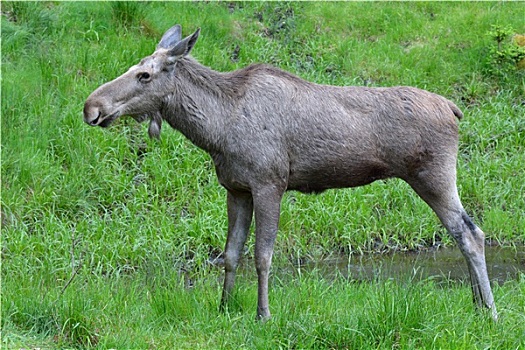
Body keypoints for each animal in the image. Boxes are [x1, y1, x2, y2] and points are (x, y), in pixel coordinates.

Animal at [85, 23, 496, 320]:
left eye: (144, 75)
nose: (91, 107)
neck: (216, 130)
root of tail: (455, 109)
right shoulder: (236, 189)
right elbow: (230, 254)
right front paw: (223, 307)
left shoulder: (270, 183)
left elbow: (262, 256)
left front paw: (263, 314)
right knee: (465, 233)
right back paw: (476, 304)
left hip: (434, 176)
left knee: (471, 233)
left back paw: (489, 311)